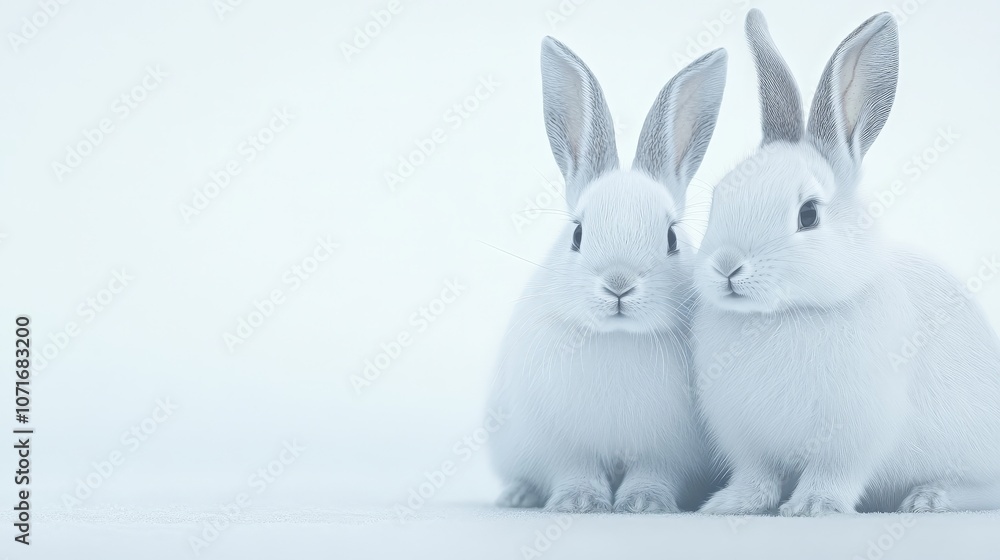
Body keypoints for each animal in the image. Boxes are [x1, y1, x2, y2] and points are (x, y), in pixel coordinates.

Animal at [487, 37, 728, 513]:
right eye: (578, 234)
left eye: (671, 238)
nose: (619, 285)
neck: (619, 337)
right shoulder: (563, 449)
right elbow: (574, 472)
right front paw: (579, 503)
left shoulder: (667, 455)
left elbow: (654, 475)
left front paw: (644, 504)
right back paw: (518, 495)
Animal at [693, 9, 1000, 516]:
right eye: (719, 196)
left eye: (808, 215)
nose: (727, 267)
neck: (788, 315)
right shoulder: (749, 441)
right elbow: (757, 476)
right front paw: (730, 504)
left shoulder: (854, 436)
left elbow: (834, 473)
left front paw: (812, 507)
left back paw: (929, 498)